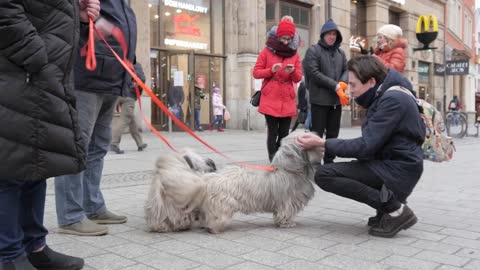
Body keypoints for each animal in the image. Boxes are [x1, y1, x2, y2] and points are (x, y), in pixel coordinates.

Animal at [152, 133, 324, 234]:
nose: (316, 135)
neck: (288, 169)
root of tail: (207, 178)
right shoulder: (288, 202)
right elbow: (286, 213)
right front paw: (287, 224)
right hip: (222, 206)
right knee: (214, 219)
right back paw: (214, 228)